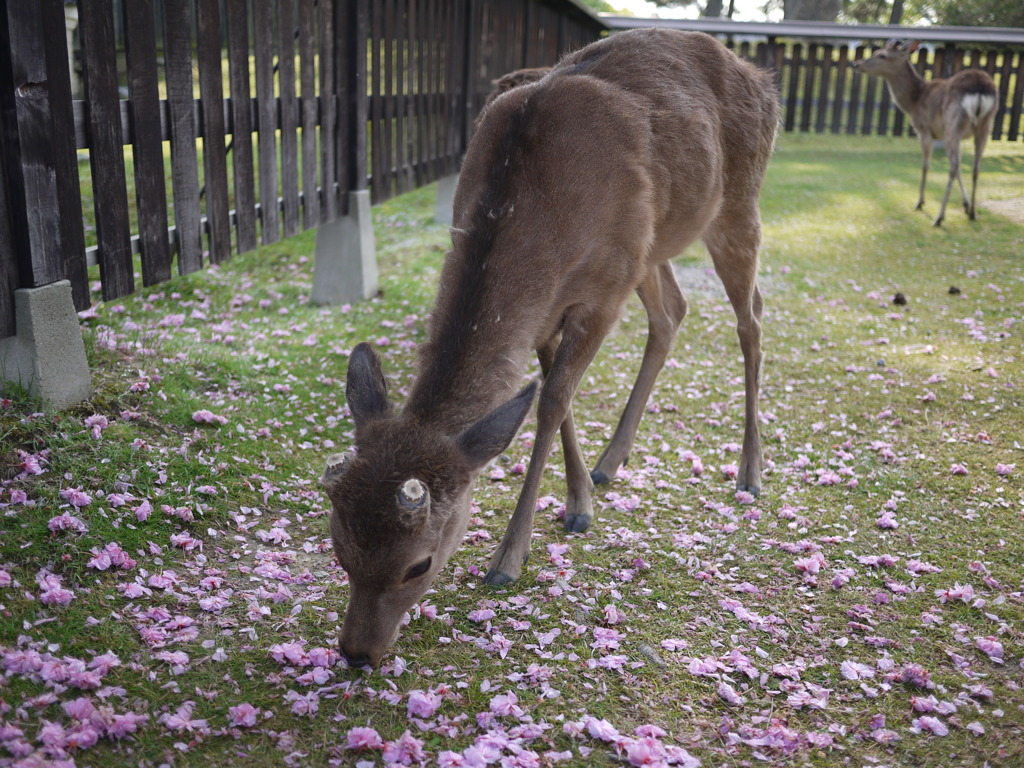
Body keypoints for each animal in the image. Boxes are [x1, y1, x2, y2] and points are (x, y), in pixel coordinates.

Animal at [319, 28, 774, 667]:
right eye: (339, 549)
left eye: (418, 565)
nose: (357, 653)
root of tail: (760, 77)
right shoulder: (554, 307)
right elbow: (552, 398)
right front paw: (581, 498)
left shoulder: (604, 288)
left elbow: (553, 401)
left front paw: (511, 557)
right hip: (655, 245)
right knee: (673, 311)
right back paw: (613, 461)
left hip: (738, 205)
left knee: (750, 316)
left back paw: (750, 471)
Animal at [851, 39, 995, 225]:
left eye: (881, 55)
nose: (856, 63)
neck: (913, 101)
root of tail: (980, 88)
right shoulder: (951, 136)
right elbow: (961, 168)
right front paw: (965, 204)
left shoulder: (924, 129)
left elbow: (925, 165)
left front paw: (919, 203)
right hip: (984, 126)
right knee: (975, 167)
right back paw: (972, 213)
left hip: (953, 125)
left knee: (953, 166)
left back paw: (939, 217)